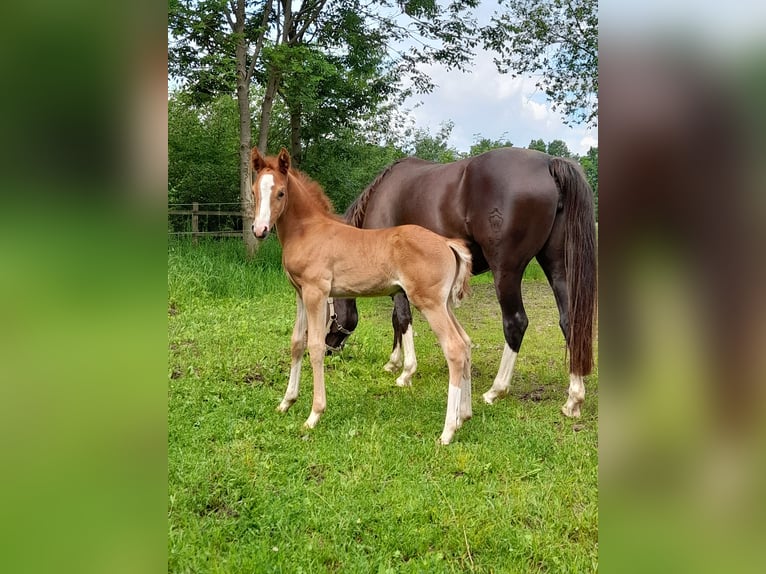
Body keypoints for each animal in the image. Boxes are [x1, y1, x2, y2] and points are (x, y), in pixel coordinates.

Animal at [250, 147, 474, 445]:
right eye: (254, 191)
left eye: (281, 193)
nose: (259, 230)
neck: (309, 230)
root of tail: (448, 243)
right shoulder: (299, 293)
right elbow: (297, 342)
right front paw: (286, 402)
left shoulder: (316, 292)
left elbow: (315, 347)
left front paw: (314, 415)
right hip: (445, 303)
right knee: (466, 342)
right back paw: (464, 416)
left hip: (430, 303)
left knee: (455, 348)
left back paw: (447, 431)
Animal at [324, 147, 597, 418]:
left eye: (327, 310)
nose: (327, 351)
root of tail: (549, 162)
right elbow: (397, 321)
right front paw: (393, 363)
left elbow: (402, 319)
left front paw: (405, 373)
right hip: (557, 265)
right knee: (569, 321)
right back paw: (573, 400)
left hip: (506, 271)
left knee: (516, 323)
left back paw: (495, 391)